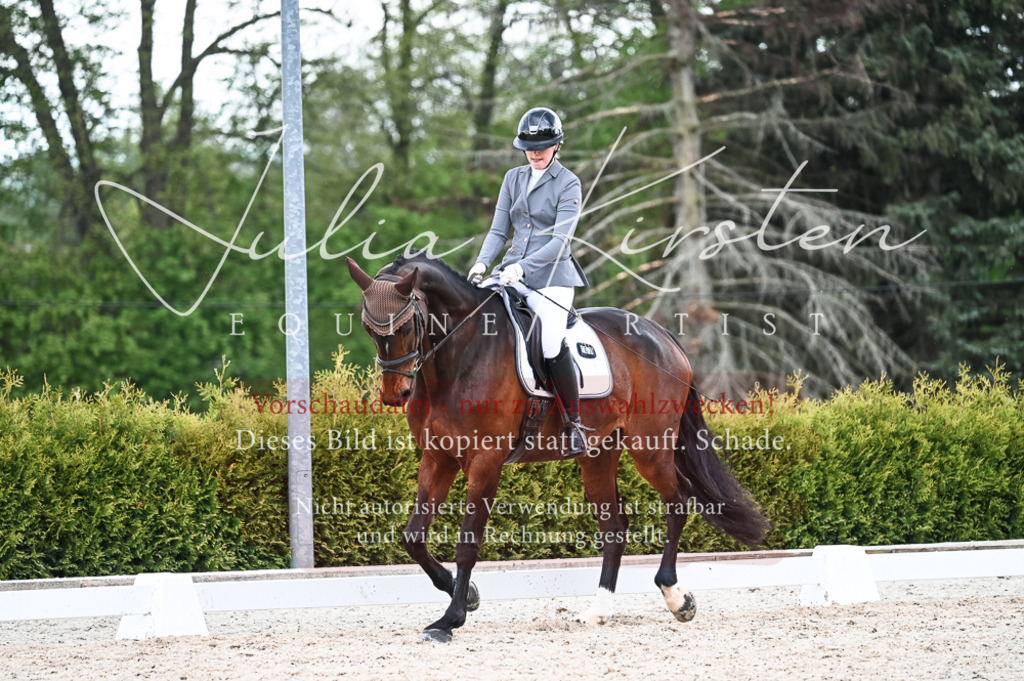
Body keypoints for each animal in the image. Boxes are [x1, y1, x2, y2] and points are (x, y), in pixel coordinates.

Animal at [346, 253, 770, 643]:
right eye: (367, 326)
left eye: (406, 325)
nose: (394, 395)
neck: (459, 356)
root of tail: (662, 335)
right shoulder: (438, 458)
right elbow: (413, 537)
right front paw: (468, 596)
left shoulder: (485, 462)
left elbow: (468, 543)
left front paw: (450, 619)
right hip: (599, 455)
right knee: (614, 528)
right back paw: (598, 611)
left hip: (649, 447)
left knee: (678, 501)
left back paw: (677, 598)